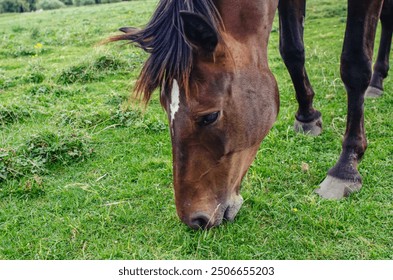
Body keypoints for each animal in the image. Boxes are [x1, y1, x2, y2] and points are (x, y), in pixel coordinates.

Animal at [108, 0, 388, 230]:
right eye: (165, 107)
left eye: (210, 117)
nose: (194, 220)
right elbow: (292, 51)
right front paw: (307, 116)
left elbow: (354, 64)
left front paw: (346, 166)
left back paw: (376, 82)